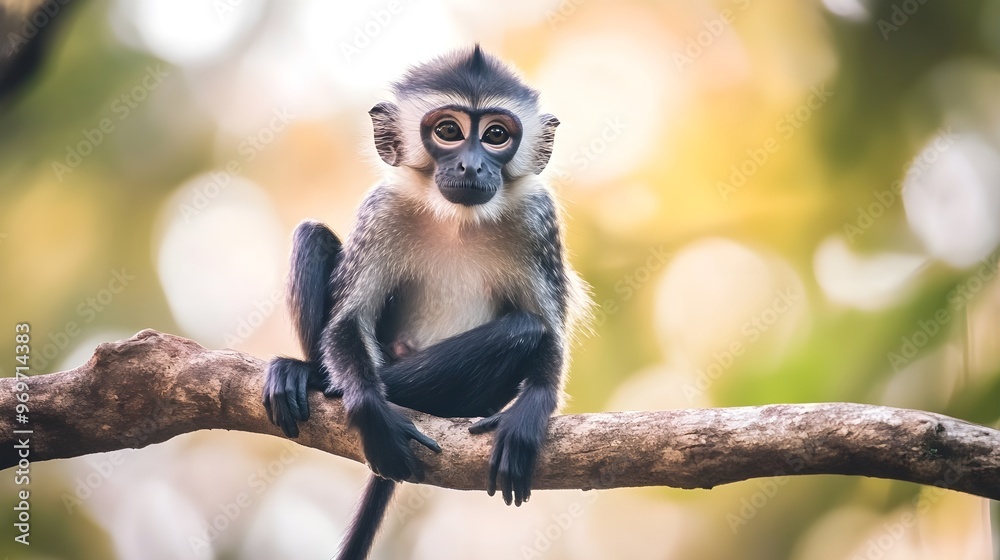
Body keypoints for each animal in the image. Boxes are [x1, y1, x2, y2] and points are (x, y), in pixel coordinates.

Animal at [262, 45, 589, 560]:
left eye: (496, 135)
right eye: (449, 132)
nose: (472, 166)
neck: (457, 218)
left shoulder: (539, 219)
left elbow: (548, 330)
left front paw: (530, 412)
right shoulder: (383, 210)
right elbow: (348, 321)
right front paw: (372, 412)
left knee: (525, 329)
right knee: (310, 235)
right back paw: (311, 376)